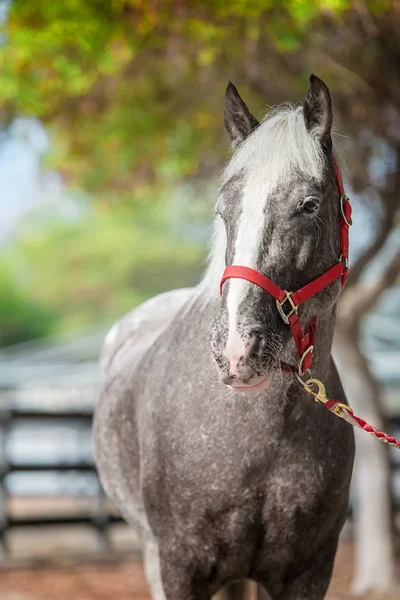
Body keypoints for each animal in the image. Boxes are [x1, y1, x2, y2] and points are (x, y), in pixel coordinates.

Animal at [94, 75, 356, 600]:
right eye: (223, 210)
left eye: (309, 205)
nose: (238, 349)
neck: (265, 435)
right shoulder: (180, 566)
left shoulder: (311, 569)